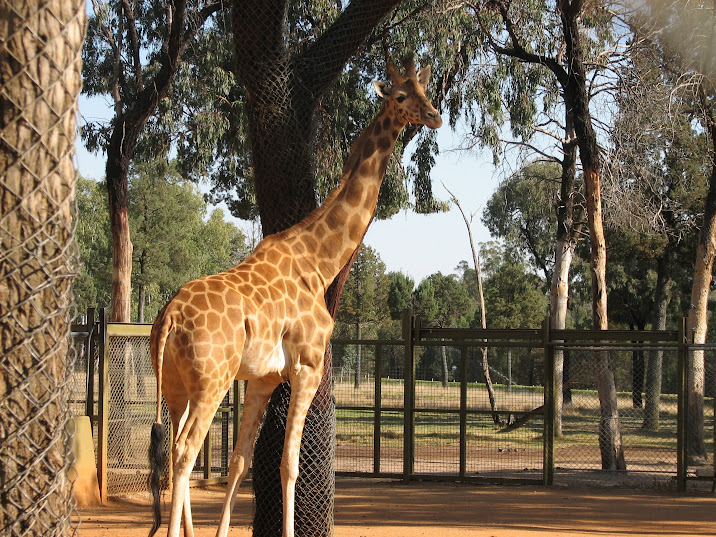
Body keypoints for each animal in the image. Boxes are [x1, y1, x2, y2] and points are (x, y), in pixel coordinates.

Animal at [147, 58, 442, 537]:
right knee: (186, 449)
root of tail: (169, 316)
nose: (435, 116)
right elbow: (290, 465)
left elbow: (239, 461)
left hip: (176, 385)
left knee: (174, 444)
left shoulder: (264, 378)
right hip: (212, 381)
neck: (319, 262)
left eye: (425, 90)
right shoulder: (307, 366)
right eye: (401, 96)